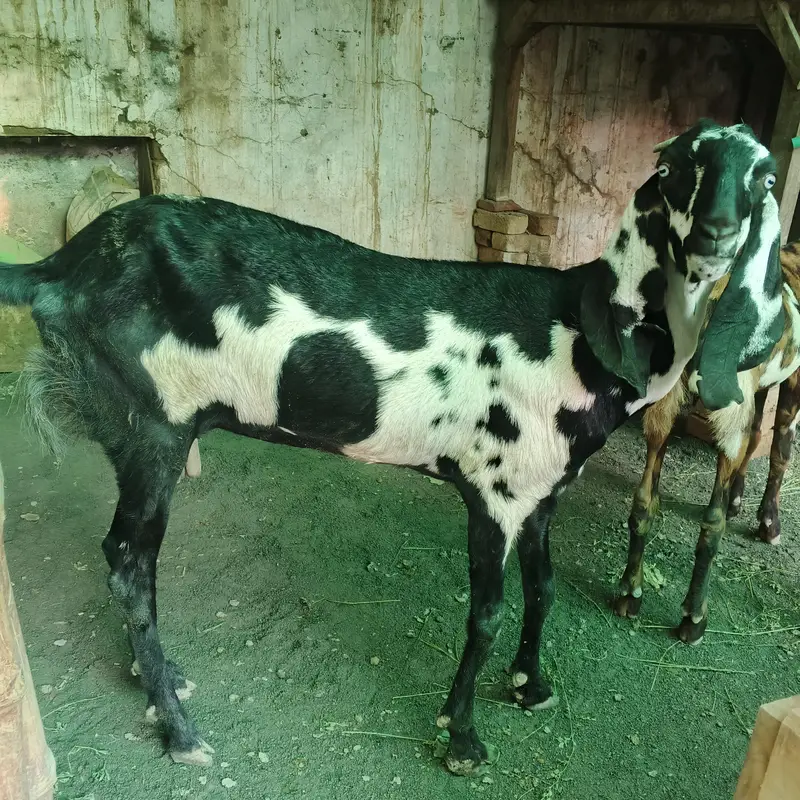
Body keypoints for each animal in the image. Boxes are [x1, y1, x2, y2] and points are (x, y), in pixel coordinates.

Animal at [615, 240, 800, 644]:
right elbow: (780, 448)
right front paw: (769, 524)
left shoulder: (759, 387)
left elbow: (759, 434)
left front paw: (739, 501)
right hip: (727, 399)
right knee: (711, 525)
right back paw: (693, 618)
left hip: (664, 397)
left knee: (644, 499)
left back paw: (629, 592)